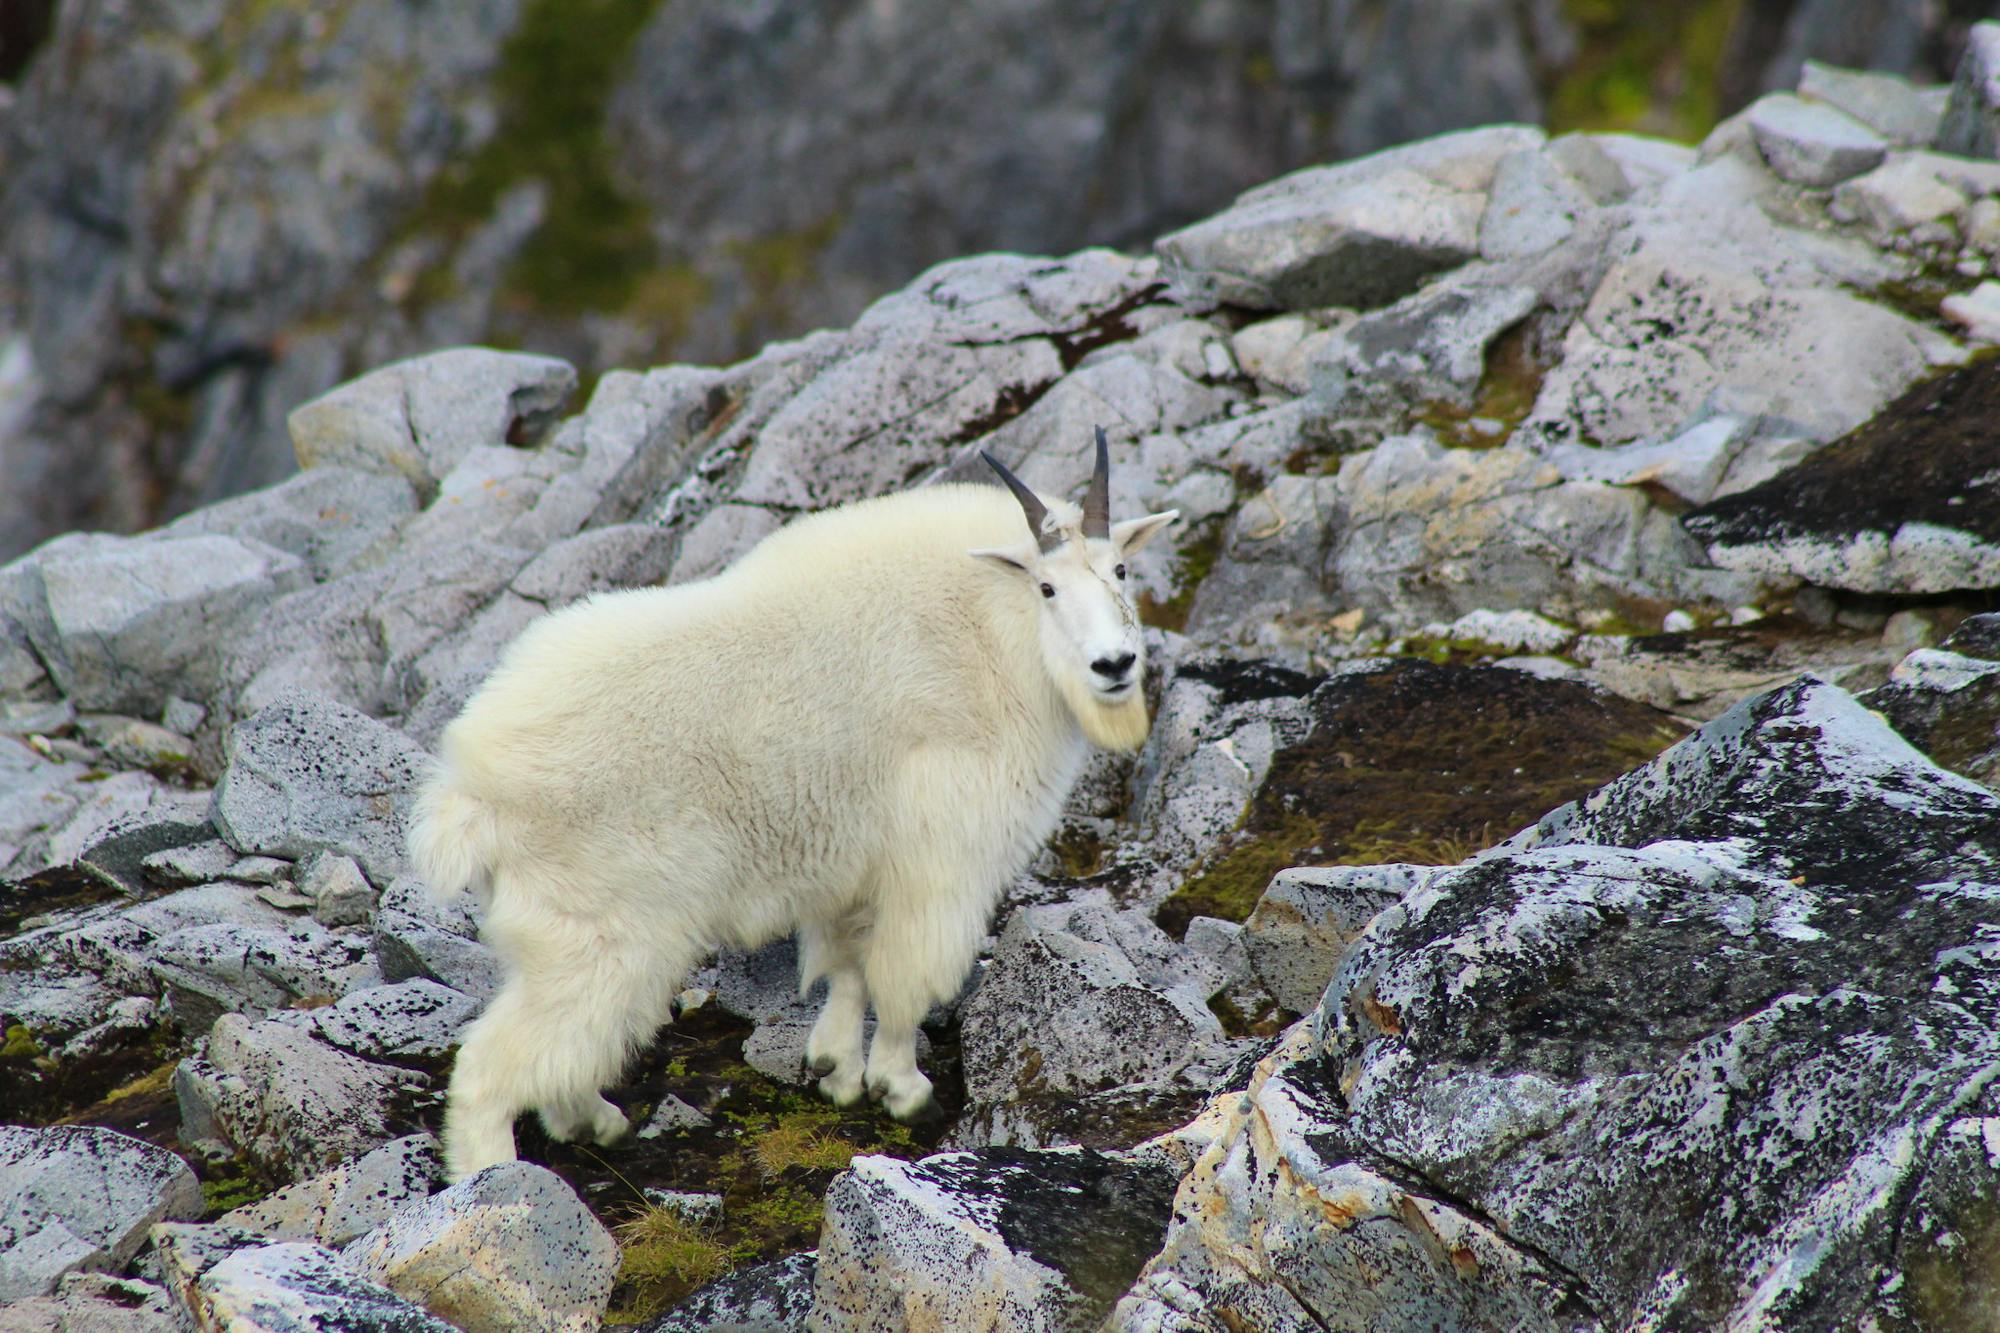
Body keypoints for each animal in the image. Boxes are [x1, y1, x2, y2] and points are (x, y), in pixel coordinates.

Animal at [414, 426, 1176, 1176]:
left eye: (1121, 571)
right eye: (1047, 586)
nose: (1114, 666)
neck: (990, 631)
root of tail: (470, 790)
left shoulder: (851, 861)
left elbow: (845, 962)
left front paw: (836, 1069)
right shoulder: (942, 857)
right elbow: (902, 975)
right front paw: (904, 1088)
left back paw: (598, 1121)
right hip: (601, 934)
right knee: (495, 1064)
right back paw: (494, 1176)